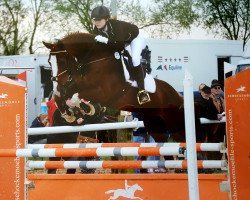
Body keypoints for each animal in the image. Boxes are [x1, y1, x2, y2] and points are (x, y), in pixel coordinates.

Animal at [43, 32, 203, 143]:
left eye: (62, 60)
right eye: (50, 62)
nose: (57, 84)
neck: (94, 61)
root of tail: (177, 95)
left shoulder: (105, 93)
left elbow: (77, 95)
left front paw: (84, 108)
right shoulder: (77, 84)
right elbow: (64, 95)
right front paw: (71, 113)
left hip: (174, 123)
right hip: (155, 124)